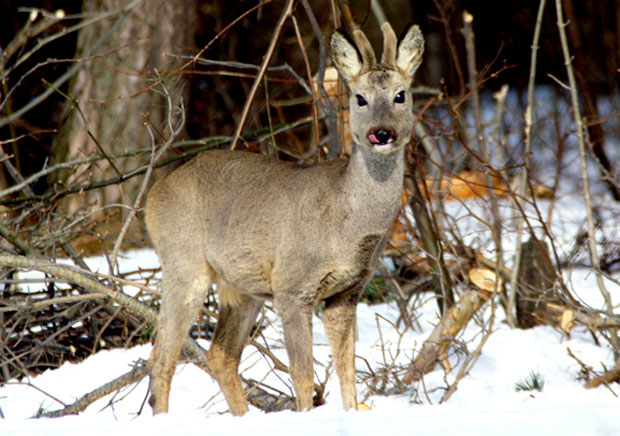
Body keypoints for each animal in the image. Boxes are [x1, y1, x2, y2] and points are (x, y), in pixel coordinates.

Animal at [148, 21, 424, 416]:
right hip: (183, 262)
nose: (382, 132)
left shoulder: (347, 292)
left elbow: (347, 372)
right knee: (162, 355)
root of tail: (153, 195)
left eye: (401, 95)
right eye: (360, 98)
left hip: (243, 285)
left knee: (220, 354)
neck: (347, 223)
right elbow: (303, 374)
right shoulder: (292, 285)